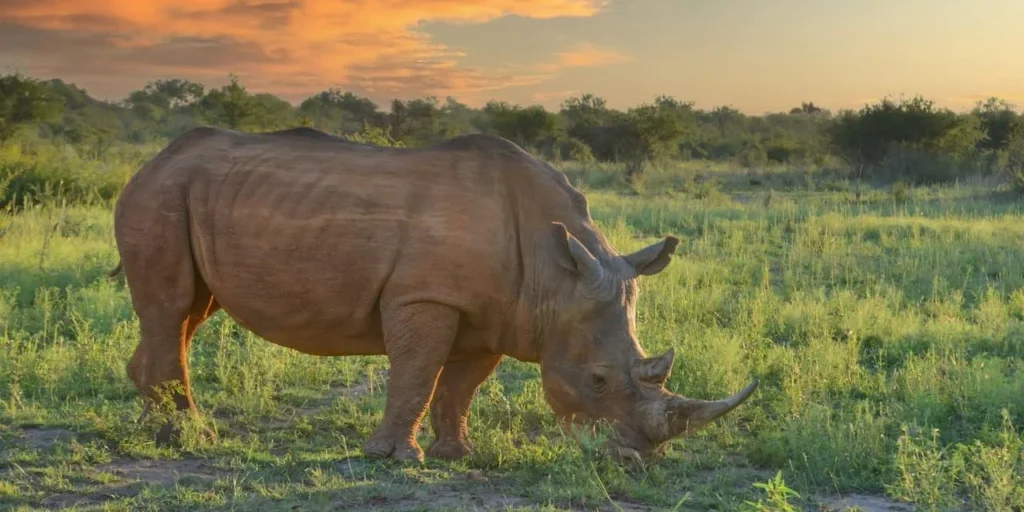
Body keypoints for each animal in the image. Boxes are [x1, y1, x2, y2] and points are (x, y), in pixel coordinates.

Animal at [108, 126, 758, 463]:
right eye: (597, 380)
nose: (636, 461)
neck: (556, 273)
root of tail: (151, 159)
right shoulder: (426, 297)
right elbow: (418, 372)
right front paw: (397, 459)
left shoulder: (503, 312)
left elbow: (461, 384)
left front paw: (456, 454)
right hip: (160, 194)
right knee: (172, 308)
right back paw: (187, 439)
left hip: (191, 195)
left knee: (187, 314)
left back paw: (154, 426)